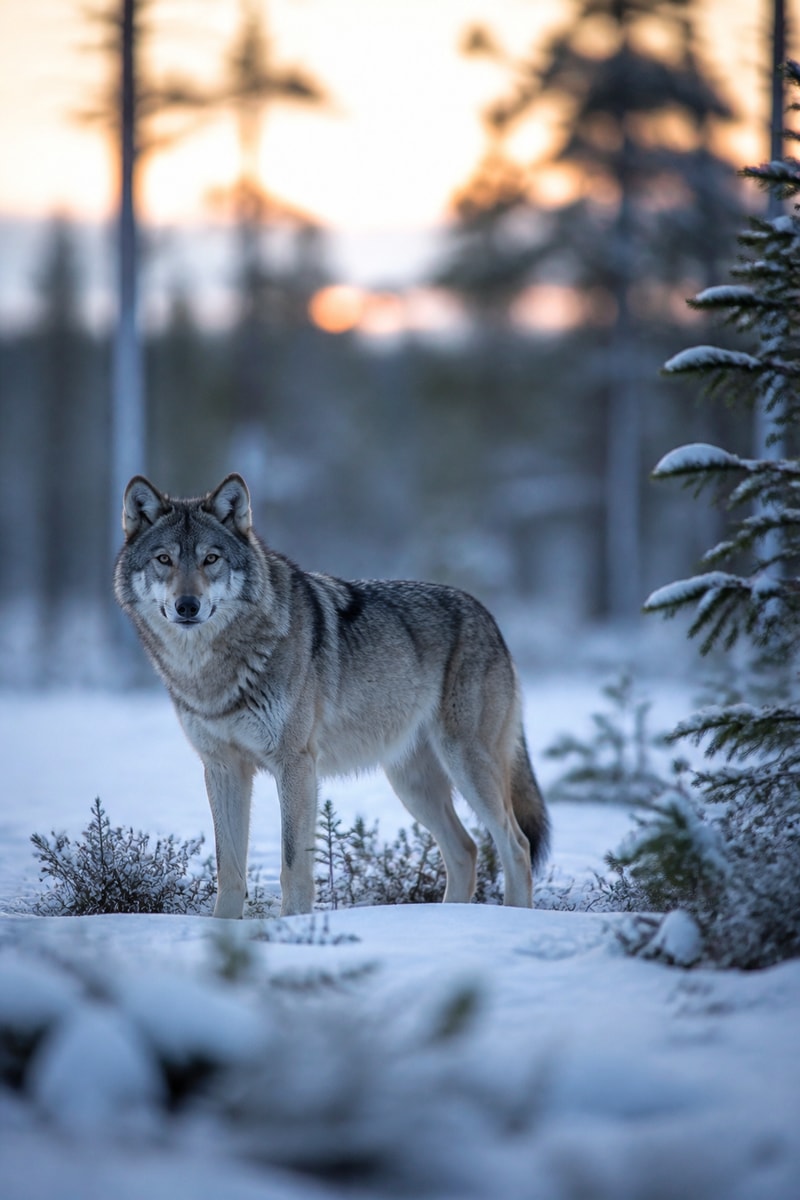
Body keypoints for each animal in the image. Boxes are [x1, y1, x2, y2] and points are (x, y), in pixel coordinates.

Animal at [115, 474, 550, 918]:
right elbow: (229, 870)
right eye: (164, 559)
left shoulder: (295, 764)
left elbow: (293, 865)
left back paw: (511, 918)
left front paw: (292, 925)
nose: (187, 605)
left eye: (211, 559)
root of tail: (486, 613)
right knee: (466, 850)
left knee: (516, 845)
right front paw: (222, 929)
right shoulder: (222, 768)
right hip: (412, 784)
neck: (212, 671)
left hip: (466, 765)